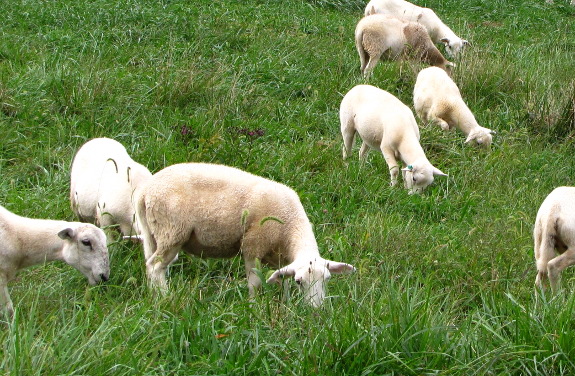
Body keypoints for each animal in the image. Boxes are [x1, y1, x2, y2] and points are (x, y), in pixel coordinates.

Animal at [136, 163, 358, 306]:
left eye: (327, 279)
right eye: (300, 282)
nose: (317, 310)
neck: (290, 224)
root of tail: (145, 191)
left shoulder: (281, 258)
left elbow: (282, 280)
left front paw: (285, 304)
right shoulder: (253, 246)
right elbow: (255, 283)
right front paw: (254, 308)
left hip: (154, 233)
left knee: (151, 265)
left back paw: (154, 295)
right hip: (172, 230)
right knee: (155, 266)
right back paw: (165, 298)